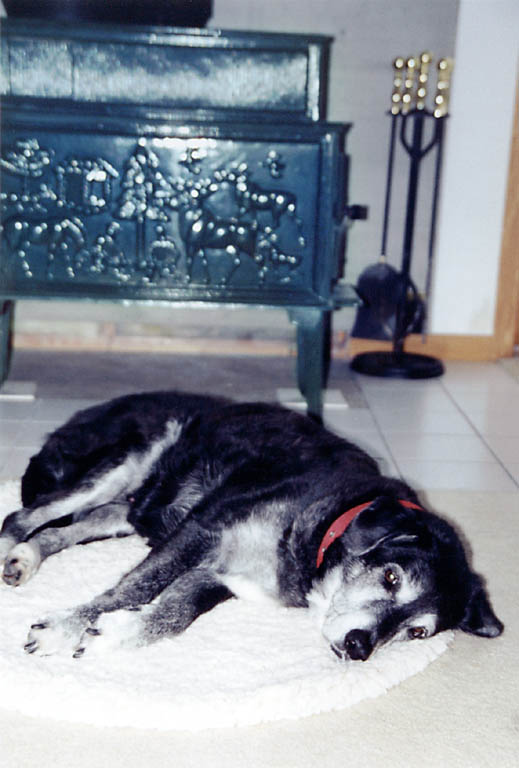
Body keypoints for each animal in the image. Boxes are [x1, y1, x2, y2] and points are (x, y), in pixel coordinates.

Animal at [0, 390, 504, 660]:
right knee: (24, 515)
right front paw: (66, 627)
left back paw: (25, 558)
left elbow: (174, 615)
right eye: (392, 576)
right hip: (122, 464)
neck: (324, 529)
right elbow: (136, 588)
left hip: (127, 510)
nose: (359, 646)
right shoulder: (204, 529)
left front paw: (115, 634)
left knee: (64, 528)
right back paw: (12, 547)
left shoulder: (219, 577)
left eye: (418, 632)